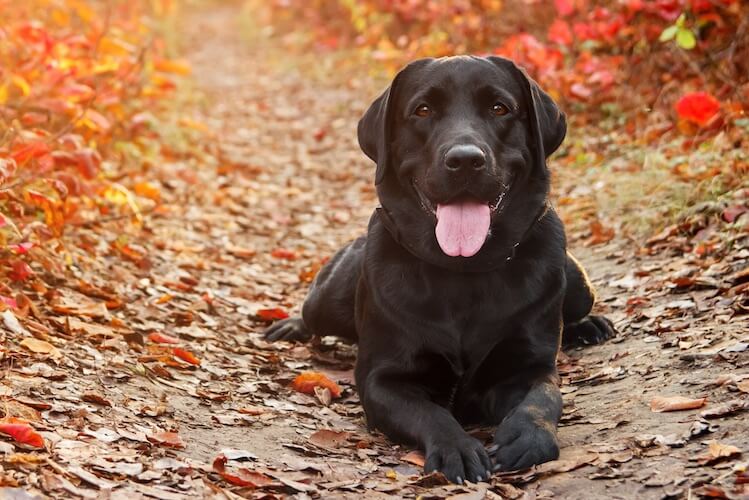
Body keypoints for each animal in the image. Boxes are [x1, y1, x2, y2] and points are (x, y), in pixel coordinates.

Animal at [262, 55, 612, 484]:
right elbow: (431, 414)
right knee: (312, 312)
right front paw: (456, 448)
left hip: (577, 283)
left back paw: (588, 326)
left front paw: (528, 437)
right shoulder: (384, 379)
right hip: (326, 300)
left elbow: (543, 399)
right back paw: (290, 325)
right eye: (423, 110)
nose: (465, 160)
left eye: (500, 108)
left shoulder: (529, 368)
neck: (462, 271)